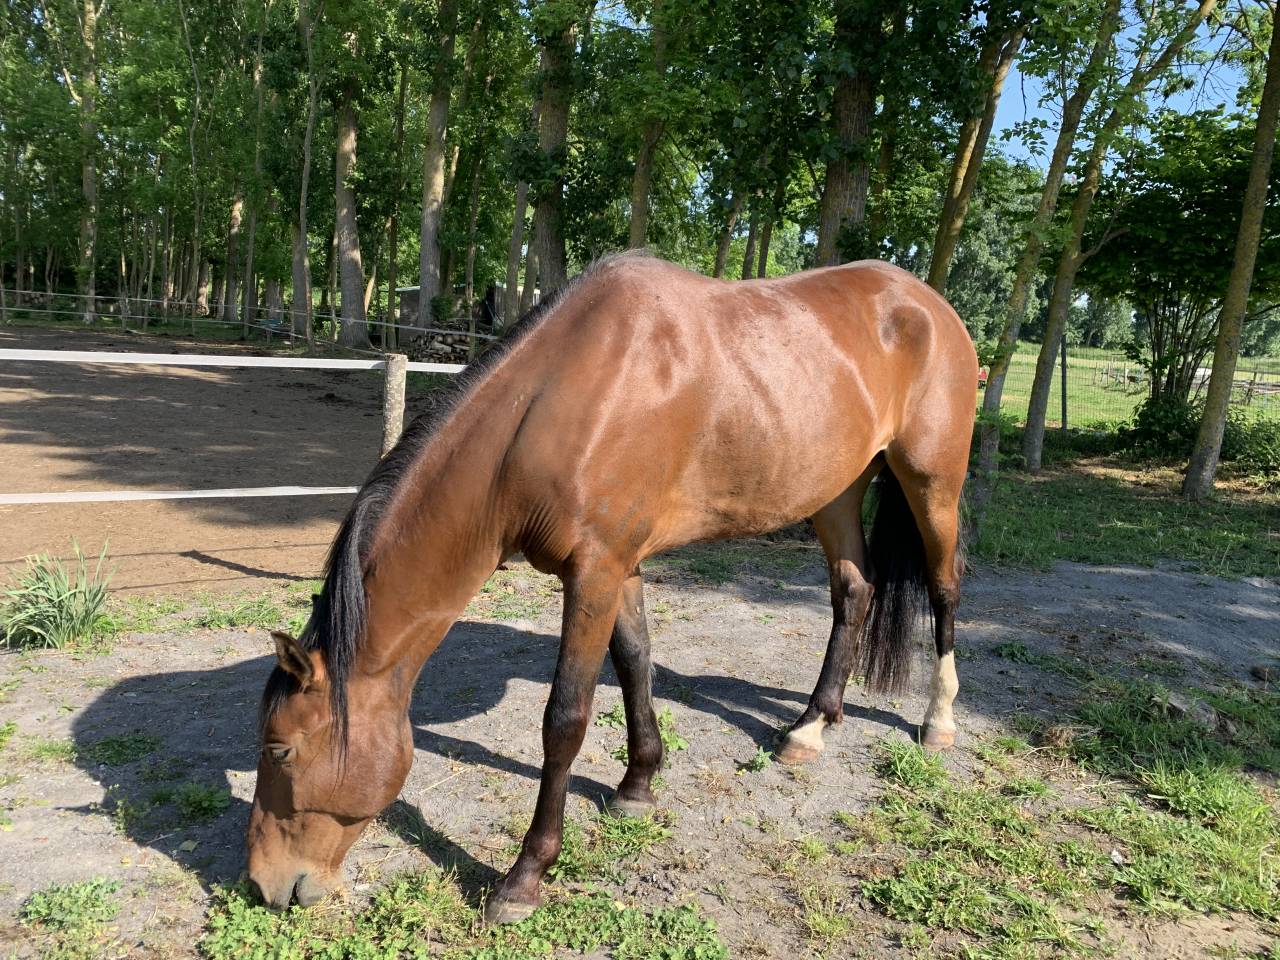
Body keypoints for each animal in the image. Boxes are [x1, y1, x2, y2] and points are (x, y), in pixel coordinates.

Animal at [248, 252, 978, 923]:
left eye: (279, 748)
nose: (263, 885)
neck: (562, 400)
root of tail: (928, 305)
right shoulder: (621, 566)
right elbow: (634, 664)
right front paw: (638, 785)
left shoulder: (595, 571)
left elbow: (565, 719)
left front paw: (523, 878)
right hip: (837, 491)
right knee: (854, 592)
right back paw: (811, 727)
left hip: (933, 481)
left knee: (945, 588)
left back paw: (938, 720)